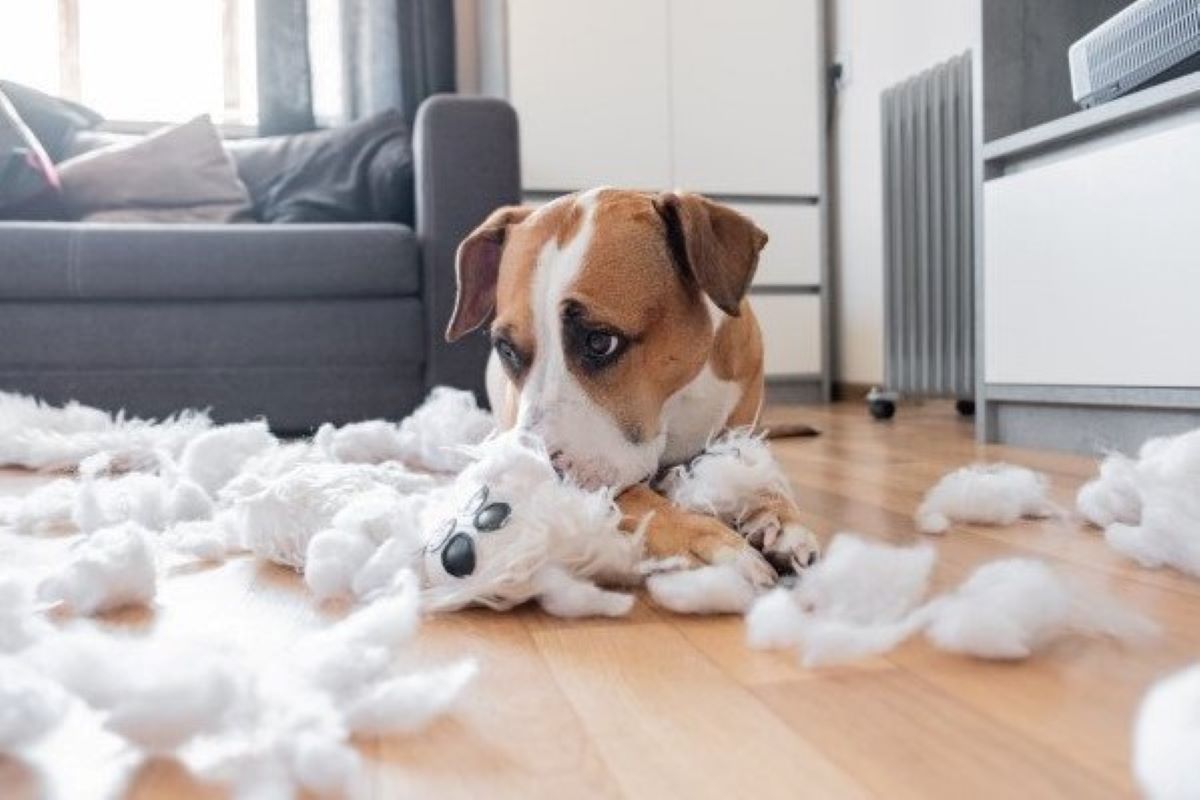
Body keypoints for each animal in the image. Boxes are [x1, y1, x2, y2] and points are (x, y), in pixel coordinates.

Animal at [446, 189, 820, 587]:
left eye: (600, 342)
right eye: (506, 349)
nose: (532, 476)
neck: (675, 402)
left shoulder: (743, 431)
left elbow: (759, 470)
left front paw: (779, 516)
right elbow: (643, 502)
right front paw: (709, 541)